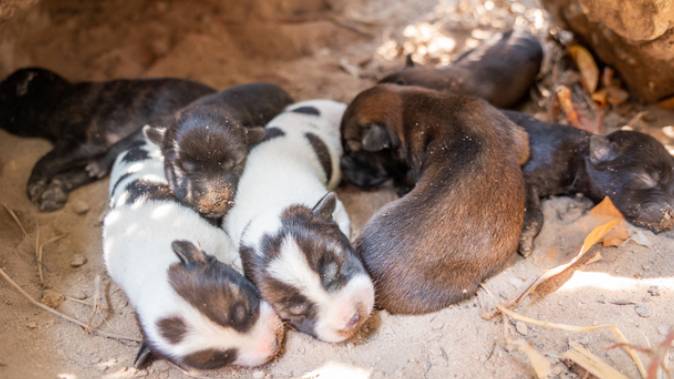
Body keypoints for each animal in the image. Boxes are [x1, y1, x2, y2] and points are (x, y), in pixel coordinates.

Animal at [0, 67, 213, 212]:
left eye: (3, 93)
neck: (57, 99)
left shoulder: (84, 140)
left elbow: (47, 160)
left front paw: (35, 187)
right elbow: (75, 170)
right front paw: (53, 193)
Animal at [504, 111, 672, 256]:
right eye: (645, 178)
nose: (671, 212)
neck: (578, 154)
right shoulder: (526, 178)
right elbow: (533, 213)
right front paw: (525, 241)